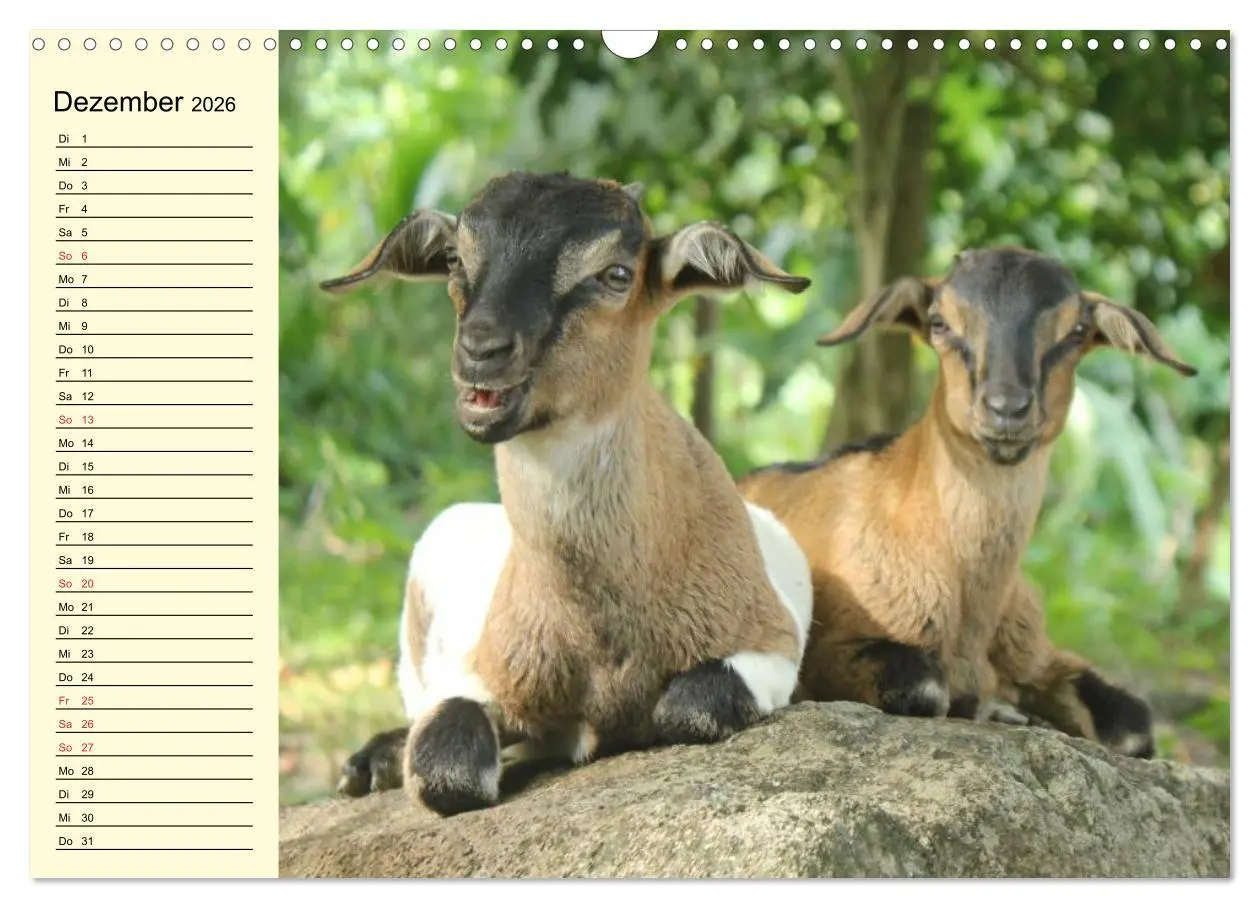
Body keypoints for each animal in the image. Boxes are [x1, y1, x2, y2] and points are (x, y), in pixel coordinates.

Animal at [319, 171, 814, 815]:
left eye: (617, 273)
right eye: (454, 258)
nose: (481, 349)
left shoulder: (769, 644)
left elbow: (689, 708)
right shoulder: (484, 671)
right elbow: (446, 767)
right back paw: (368, 764)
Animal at [737, 246, 1196, 758]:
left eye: (1076, 331)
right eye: (939, 322)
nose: (1007, 408)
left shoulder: (1036, 654)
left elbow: (1133, 723)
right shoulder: (833, 648)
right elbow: (925, 688)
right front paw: (1001, 710)